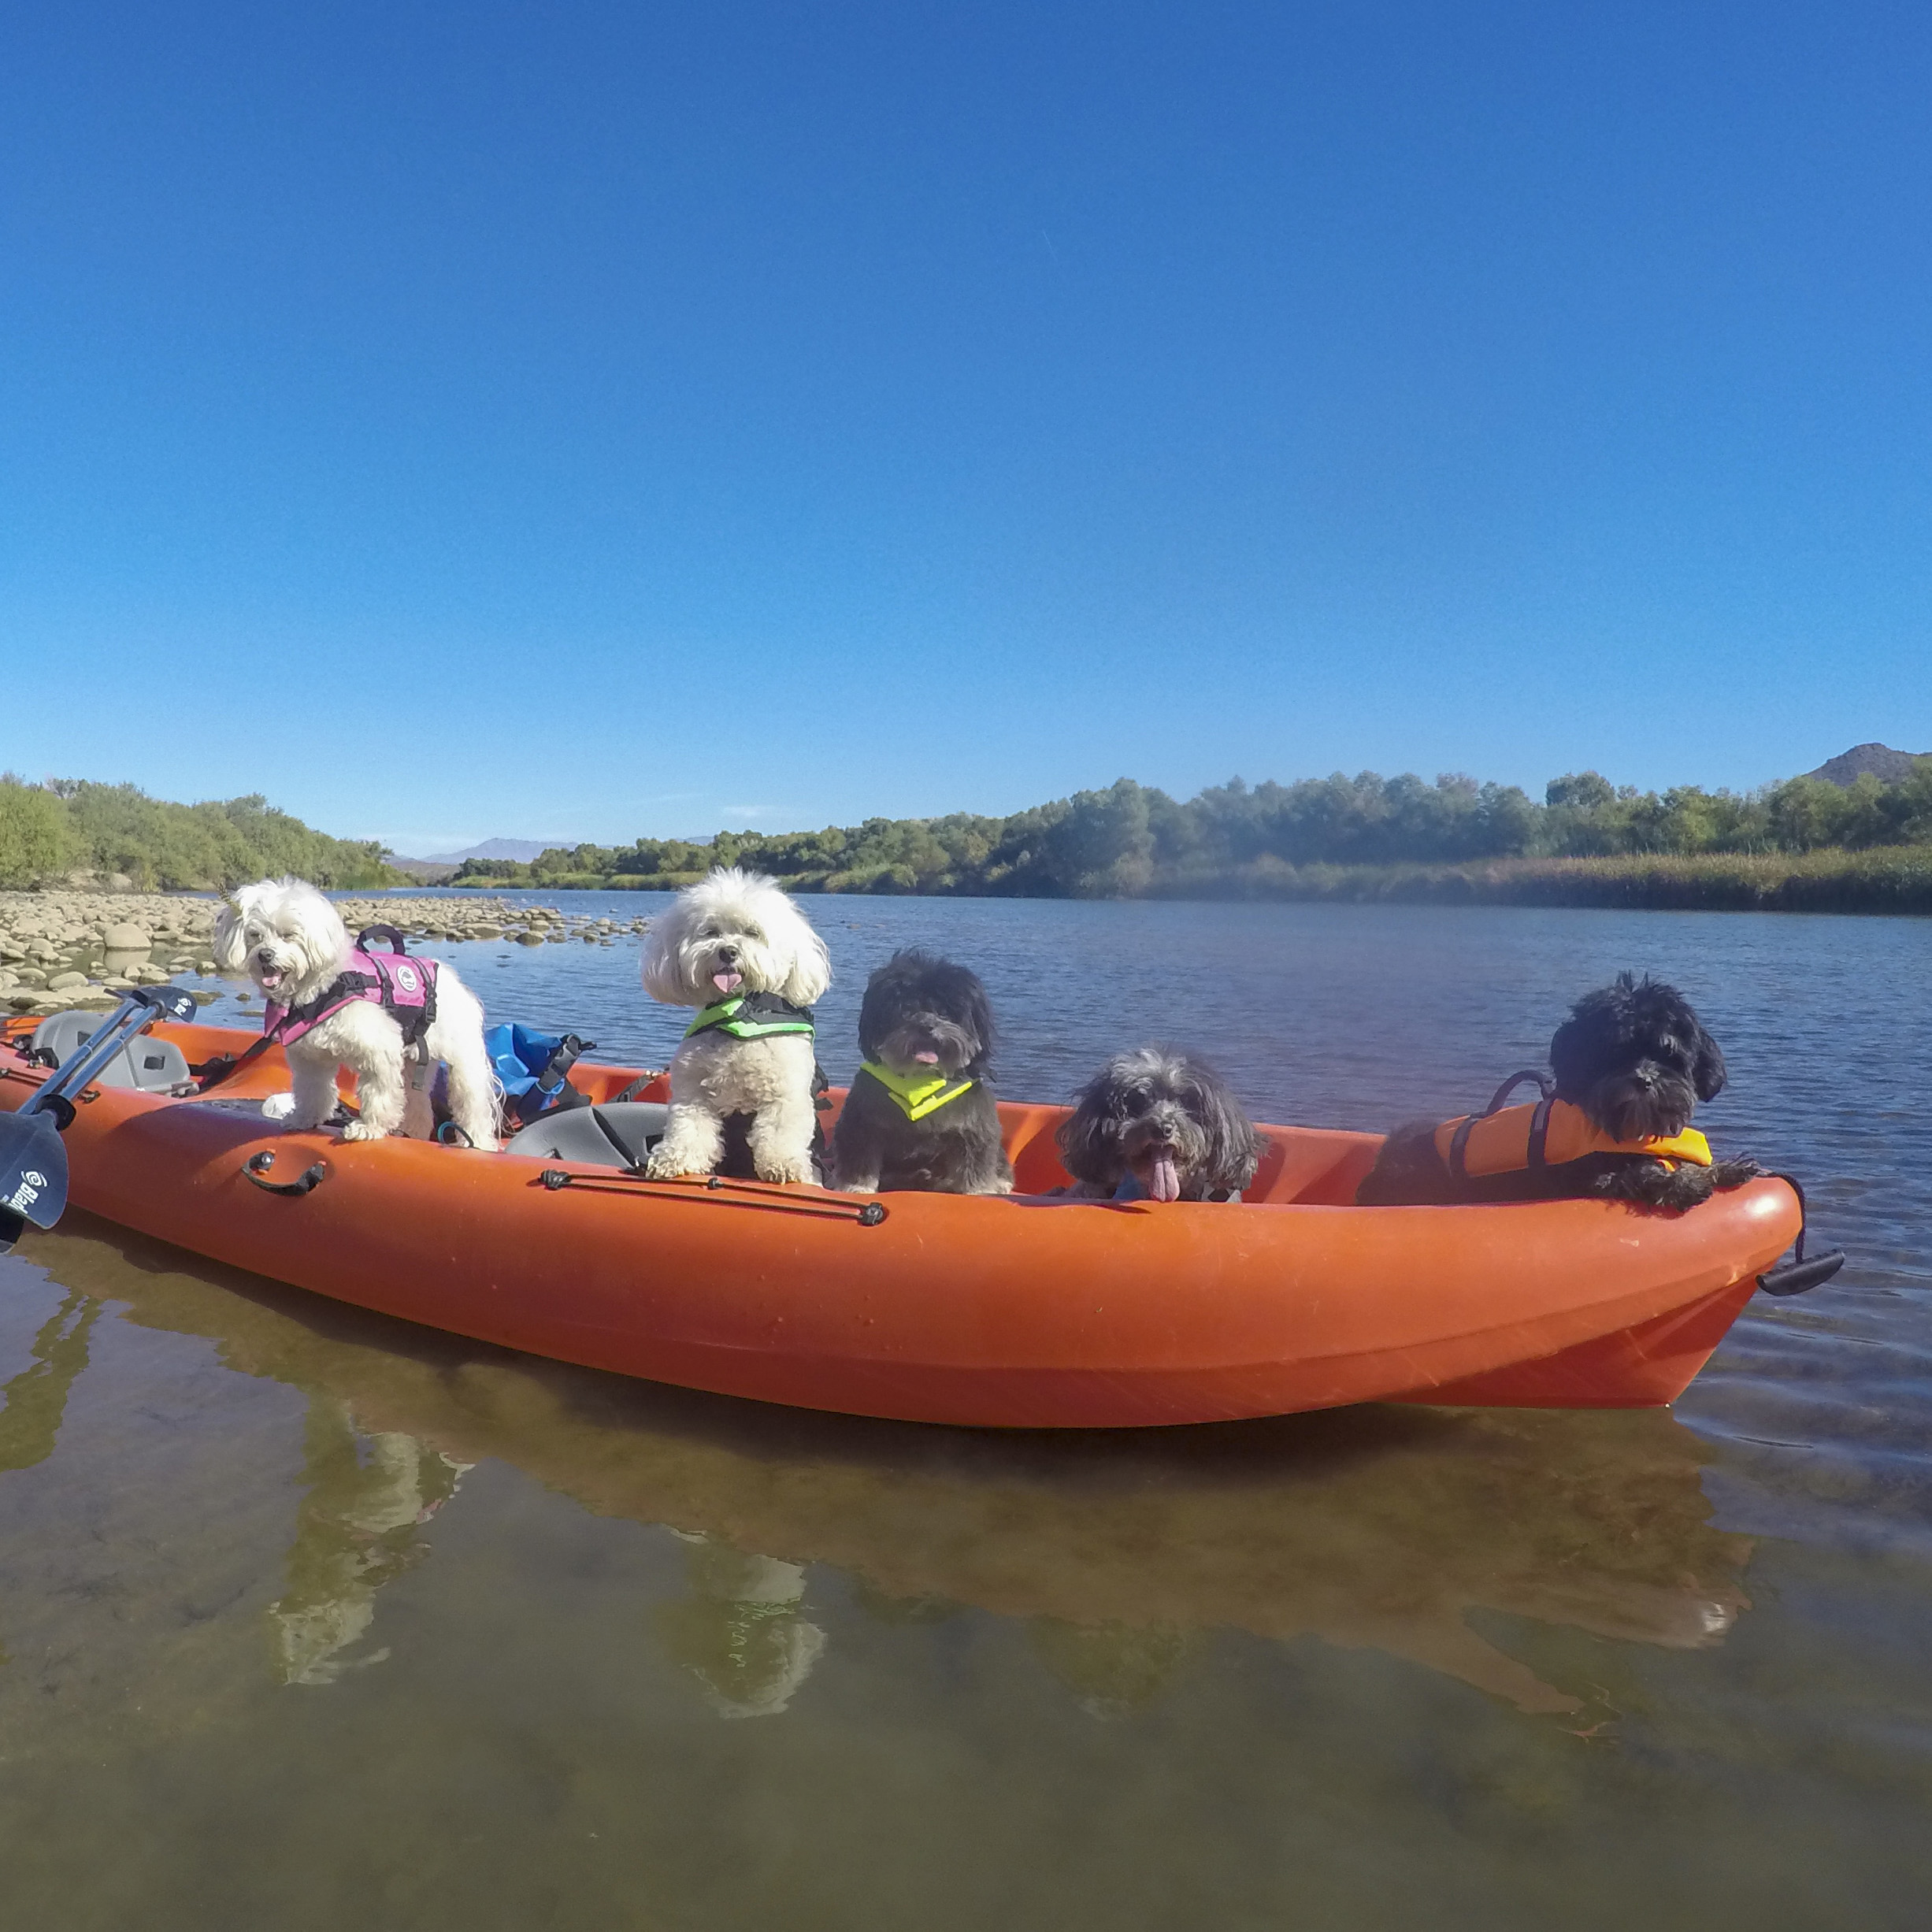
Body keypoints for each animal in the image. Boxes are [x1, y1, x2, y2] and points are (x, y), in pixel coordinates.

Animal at [213, 884, 498, 1151]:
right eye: (255, 936)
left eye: (289, 935)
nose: (265, 955)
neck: (319, 990)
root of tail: (455, 984)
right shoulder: (309, 1058)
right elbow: (312, 1091)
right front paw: (304, 1119)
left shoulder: (379, 1051)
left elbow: (378, 1093)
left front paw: (368, 1128)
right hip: (416, 1062)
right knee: (419, 1107)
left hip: (463, 1063)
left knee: (473, 1105)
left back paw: (478, 1143)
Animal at [641, 869, 830, 1182]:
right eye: (711, 932)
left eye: (753, 933)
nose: (728, 952)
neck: (739, 1012)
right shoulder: (693, 1093)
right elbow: (688, 1129)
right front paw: (674, 1159)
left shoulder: (786, 1095)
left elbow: (781, 1133)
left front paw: (784, 1165)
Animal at [826, 950, 1012, 1190]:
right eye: (906, 1011)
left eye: (944, 1012)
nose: (926, 1026)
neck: (920, 1080)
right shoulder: (860, 1124)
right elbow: (858, 1160)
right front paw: (856, 1187)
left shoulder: (975, 1128)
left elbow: (976, 1167)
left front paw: (979, 1191)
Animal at [1359, 973, 1769, 1213]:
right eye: (1614, 1053)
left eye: (1666, 1054)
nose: (1643, 1080)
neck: (1623, 1128)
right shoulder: (1586, 1179)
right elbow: (1639, 1172)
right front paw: (1684, 1183)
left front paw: (1724, 1168)